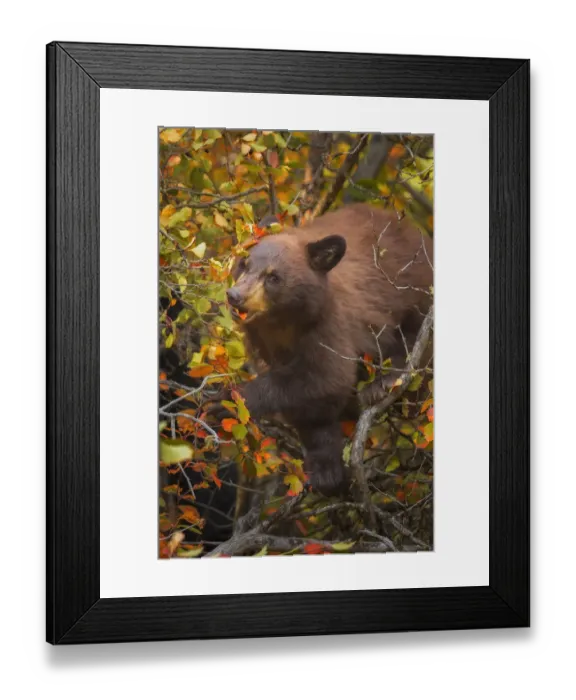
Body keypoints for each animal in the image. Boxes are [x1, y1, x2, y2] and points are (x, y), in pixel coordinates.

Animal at [224, 203, 433, 497]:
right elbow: (313, 415)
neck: (282, 325)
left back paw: (384, 383)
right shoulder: (263, 346)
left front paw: (239, 396)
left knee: (417, 338)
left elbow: (326, 378)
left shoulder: (329, 325)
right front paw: (326, 472)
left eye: (273, 277)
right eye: (245, 264)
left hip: (416, 290)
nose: (235, 296)